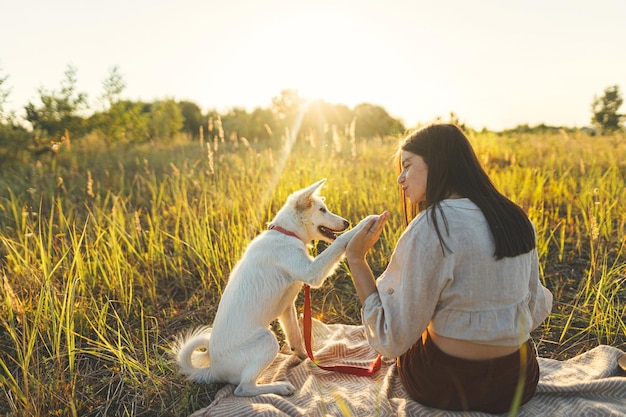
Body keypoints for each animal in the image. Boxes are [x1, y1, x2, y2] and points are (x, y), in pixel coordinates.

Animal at [171, 179, 368, 396]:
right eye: (322, 210)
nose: (347, 222)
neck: (286, 233)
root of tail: (213, 369)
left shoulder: (287, 308)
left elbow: (296, 337)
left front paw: (304, 359)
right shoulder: (312, 273)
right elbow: (339, 241)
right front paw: (363, 226)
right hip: (266, 339)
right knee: (242, 388)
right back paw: (279, 387)